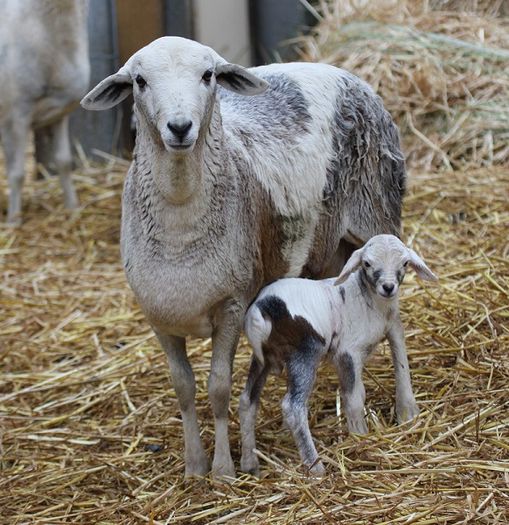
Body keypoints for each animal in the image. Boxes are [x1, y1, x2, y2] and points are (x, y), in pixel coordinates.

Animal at [0, 0, 89, 223]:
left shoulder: (59, 113)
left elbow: (63, 161)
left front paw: (72, 206)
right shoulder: (16, 114)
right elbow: (17, 173)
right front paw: (14, 220)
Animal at [81, 36, 406, 478]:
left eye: (208, 75)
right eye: (139, 81)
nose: (180, 127)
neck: (180, 231)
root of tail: (338, 68)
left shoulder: (232, 305)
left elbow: (218, 387)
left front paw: (223, 469)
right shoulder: (158, 318)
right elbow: (183, 389)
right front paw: (194, 465)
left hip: (378, 218)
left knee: (395, 320)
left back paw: (405, 408)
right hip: (329, 252)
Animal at [239, 233, 436, 474]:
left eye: (405, 263)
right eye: (367, 263)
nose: (388, 287)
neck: (369, 300)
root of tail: (262, 308)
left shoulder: (392, 327)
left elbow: (398, 364)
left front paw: (408, 414)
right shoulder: (348, 353)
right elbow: (354, 398)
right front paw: (360, 437)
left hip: (264, 358)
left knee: (247, 400)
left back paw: (249, 464)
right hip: (304, 353)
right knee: (293, 408)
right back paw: (315, 467)